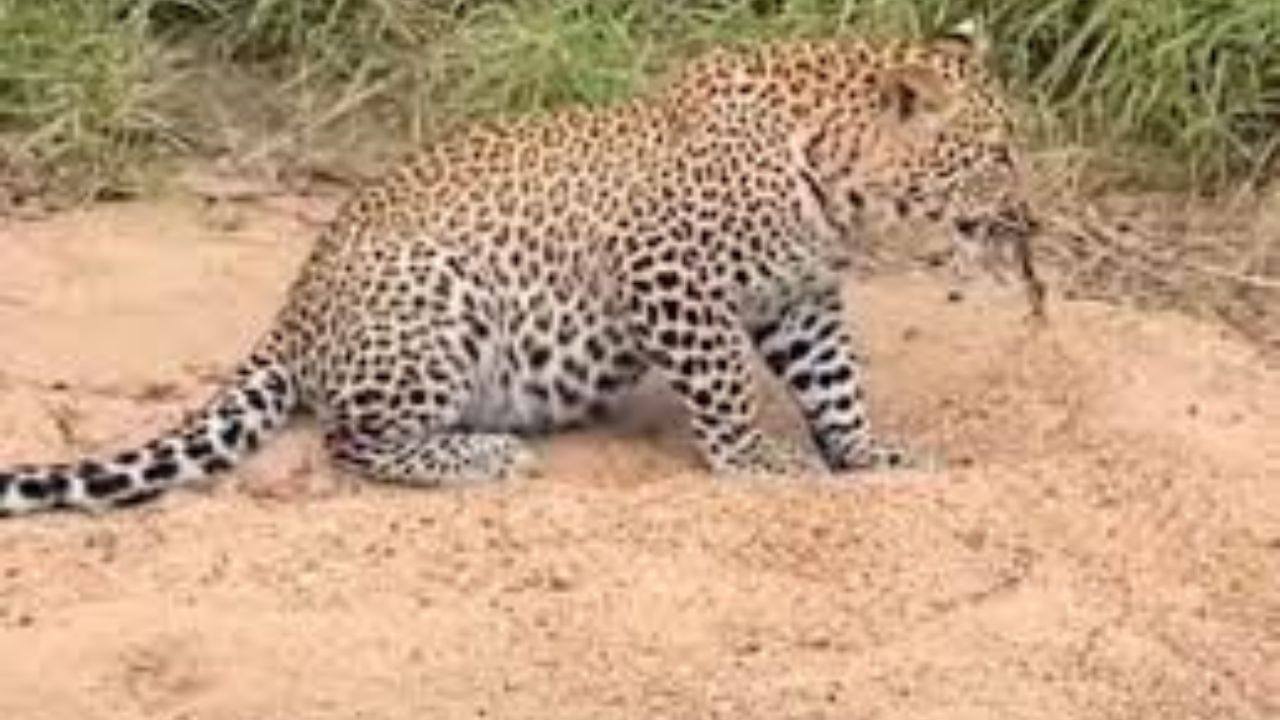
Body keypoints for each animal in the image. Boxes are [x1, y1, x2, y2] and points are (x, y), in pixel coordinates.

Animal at [0, 25, 1042, 517]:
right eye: (994, 153)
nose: (1031, 216)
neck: (831, 184)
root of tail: (293, 313)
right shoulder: (666, 272)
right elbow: (725, 388)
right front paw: (754, 460)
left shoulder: (803, 298)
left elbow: (837, 385)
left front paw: (868, 452)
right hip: (435, 298)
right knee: (349, 437)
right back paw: (482, 454)